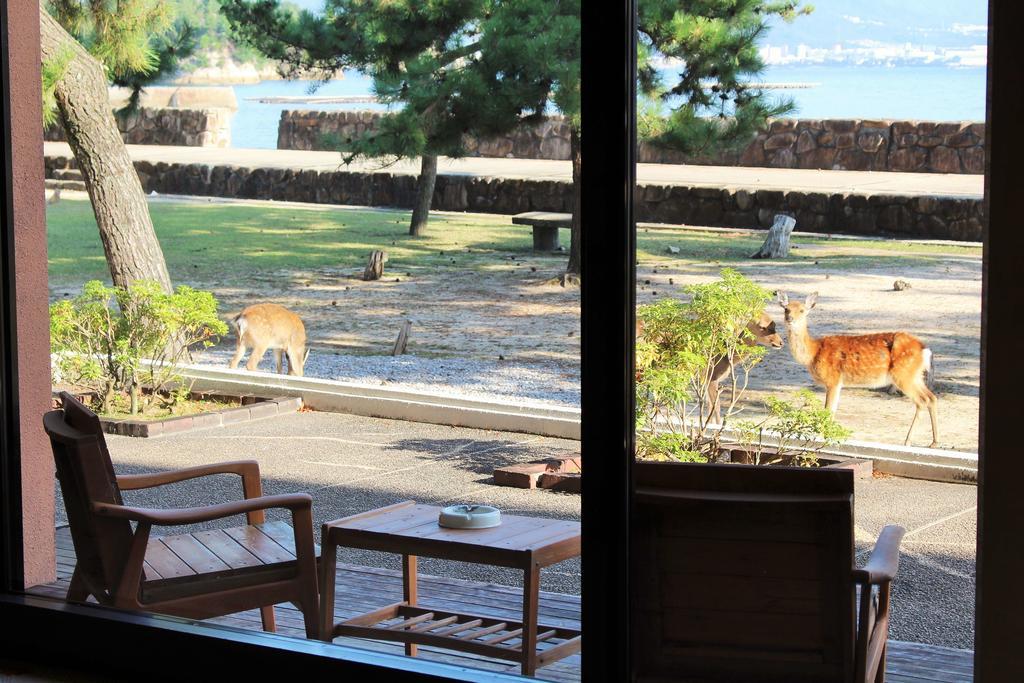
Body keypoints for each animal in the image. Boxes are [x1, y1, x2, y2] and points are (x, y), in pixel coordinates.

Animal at [774, 292, 937, 448]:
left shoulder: (833, 379)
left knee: (922, 400)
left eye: (802, 310)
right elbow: (832, 410)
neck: (813, 353)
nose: (789, 318)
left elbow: (828, 410)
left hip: (903, 375)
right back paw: (934, 442)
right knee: (931, 397)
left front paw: (822, 436)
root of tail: (925, 350)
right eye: (786, 309)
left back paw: (908, 441)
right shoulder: (837, 383)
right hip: (914, 376)